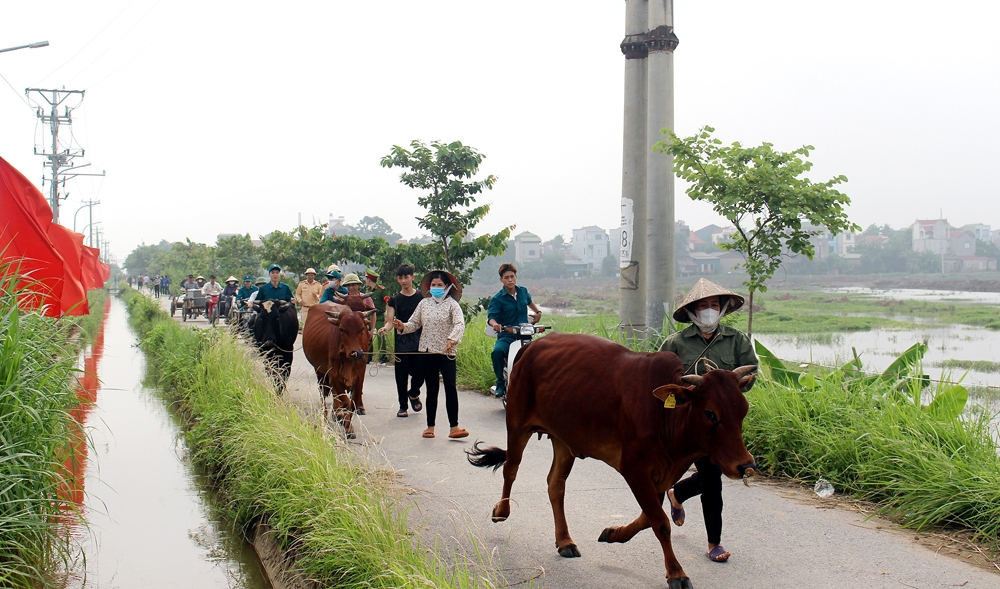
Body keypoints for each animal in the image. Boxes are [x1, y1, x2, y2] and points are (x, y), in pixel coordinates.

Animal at [468, 334, 756, 584]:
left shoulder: (661, 475)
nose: (746, 465)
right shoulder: (634, 469)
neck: (665, 414)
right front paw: (676, 574)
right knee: (511, 468)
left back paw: (565, 541)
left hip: (564, 439)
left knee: (555, 484)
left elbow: (648, 518)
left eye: (744, 410)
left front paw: (613, 534)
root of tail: (531, 346)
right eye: (710, 413)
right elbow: (661, 523)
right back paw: (501, 511)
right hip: (517, 424)